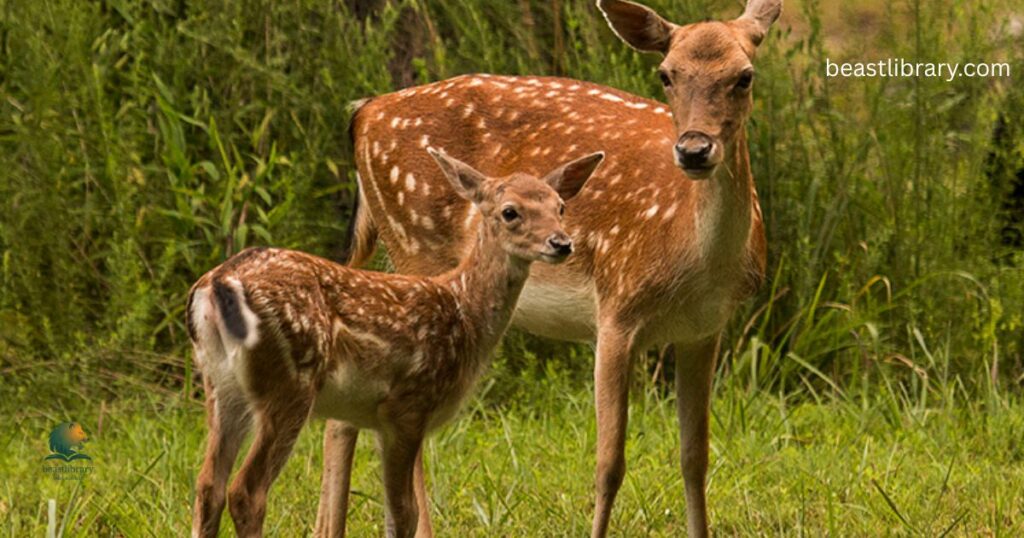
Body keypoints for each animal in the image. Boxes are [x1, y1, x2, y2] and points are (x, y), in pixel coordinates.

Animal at [187, 148, 604, 538]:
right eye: (510, 212)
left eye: (560, 206)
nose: (562, 243)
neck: (463, 311)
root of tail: (216, 285)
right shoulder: (407, 405)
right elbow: (406, 513)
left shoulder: (377, 418)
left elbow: (395, 512)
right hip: (291, 381)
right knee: (247, 491)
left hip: (222, 385)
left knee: (209, 485)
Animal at [317, 0, 781, 536]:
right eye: (667, 74)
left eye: (745, 76)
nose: (693, 150)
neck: (695, 258)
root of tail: (364, 111)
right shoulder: (617, 307)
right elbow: (609, 464)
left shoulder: (704, 330)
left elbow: (695, 458)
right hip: (415, 246)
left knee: (343, 413)